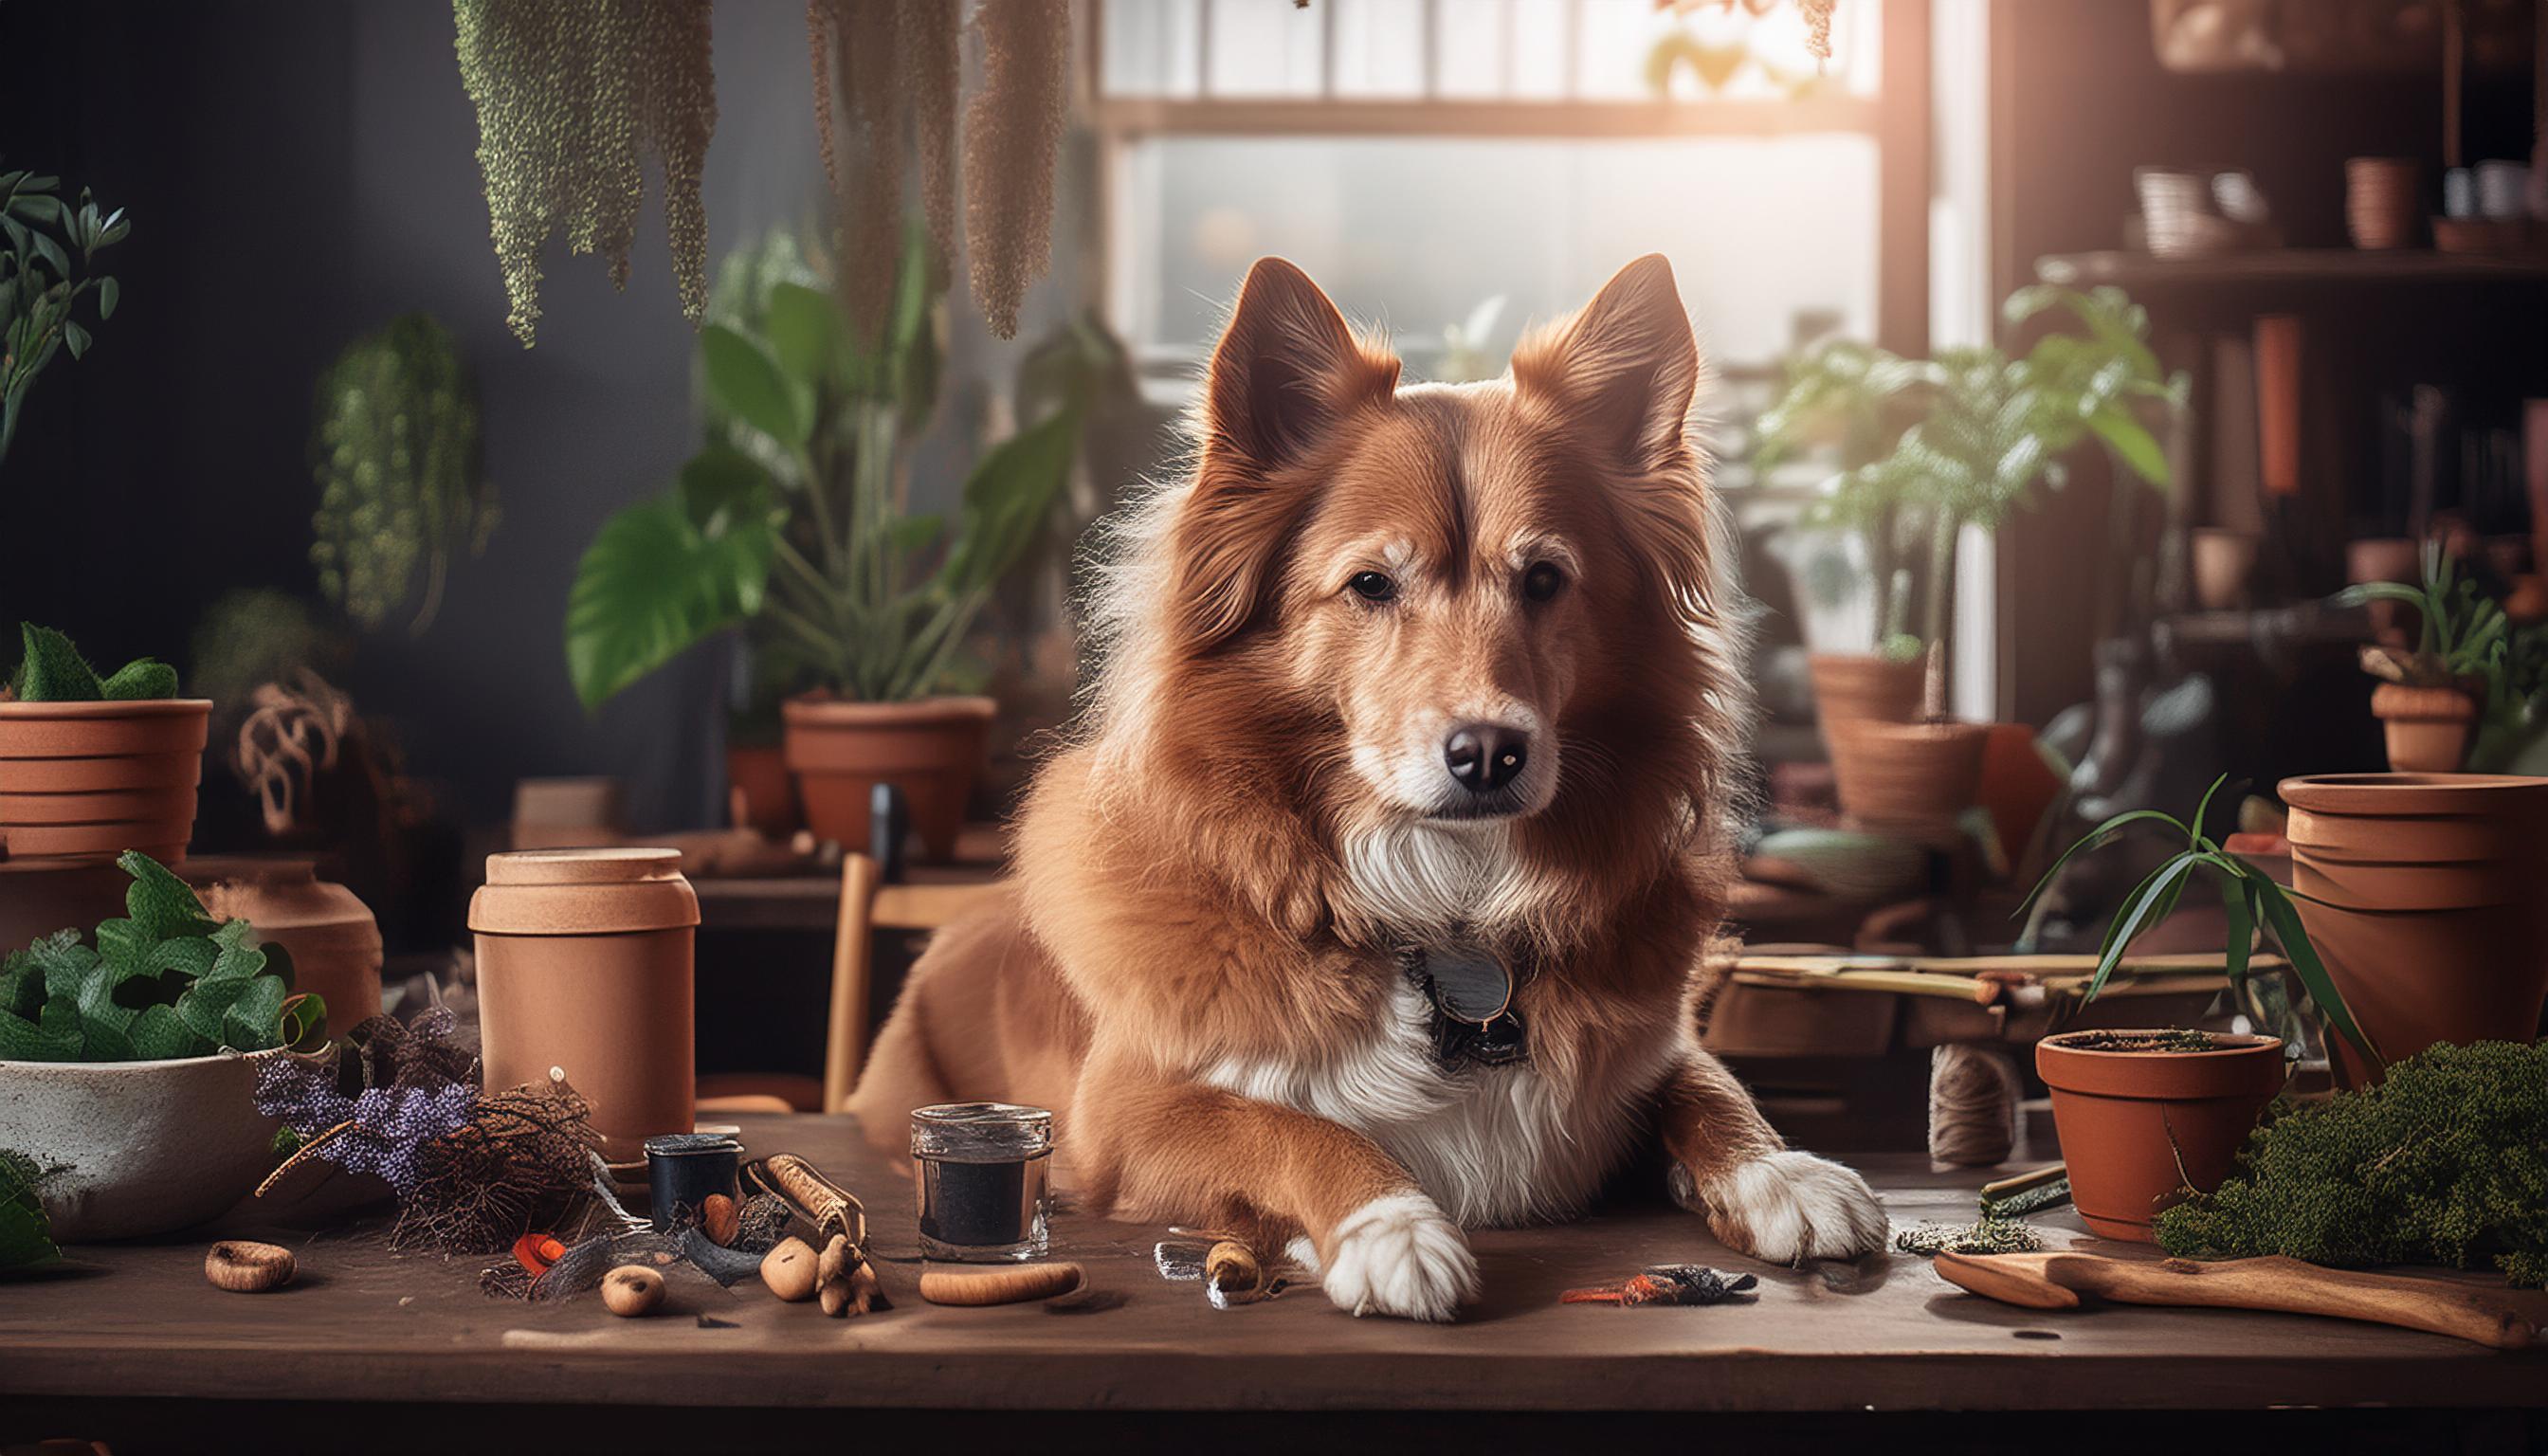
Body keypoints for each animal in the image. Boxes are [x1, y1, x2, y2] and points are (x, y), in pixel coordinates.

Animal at [856, 259, 1895, 1325]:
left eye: (1545, 579)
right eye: (1370, 585)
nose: (1490, 754)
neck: (1445, 909)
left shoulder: (1646, 1046)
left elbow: (1712, 1087)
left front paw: (1783, 1175)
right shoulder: (1119, 1115)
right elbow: (1287, 1125)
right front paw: (1390, 1226)